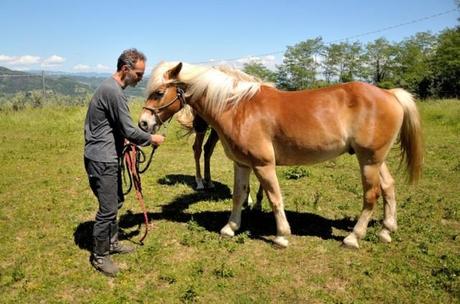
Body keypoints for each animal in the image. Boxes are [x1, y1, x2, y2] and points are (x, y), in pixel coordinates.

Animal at [138, 60, 422, 248]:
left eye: (159, 92)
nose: (143, 123)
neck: (238, 107)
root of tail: (389, 94)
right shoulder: (242, 164)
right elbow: (239, 196)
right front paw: (230, 228)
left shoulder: (264, 165)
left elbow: (275, 198)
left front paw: (282, 235)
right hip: (376, 159)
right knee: (389, 187)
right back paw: (386, 230)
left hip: (369, 161)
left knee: (371, 195)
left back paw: (353, 237)